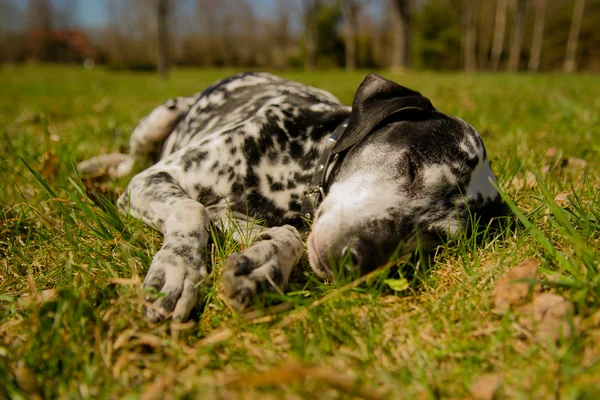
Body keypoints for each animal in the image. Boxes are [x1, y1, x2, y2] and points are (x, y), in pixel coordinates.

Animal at [77, 72, 504, 322]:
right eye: (412, 165)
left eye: (436, 238)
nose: (356, 260)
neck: (295, 173)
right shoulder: (155, 179)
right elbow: (189, 207)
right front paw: (178, 271)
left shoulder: (230, 215)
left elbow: (288, 235)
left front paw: (263, 264)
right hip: (160, 120)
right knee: (130, 160)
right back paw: (97, 167)